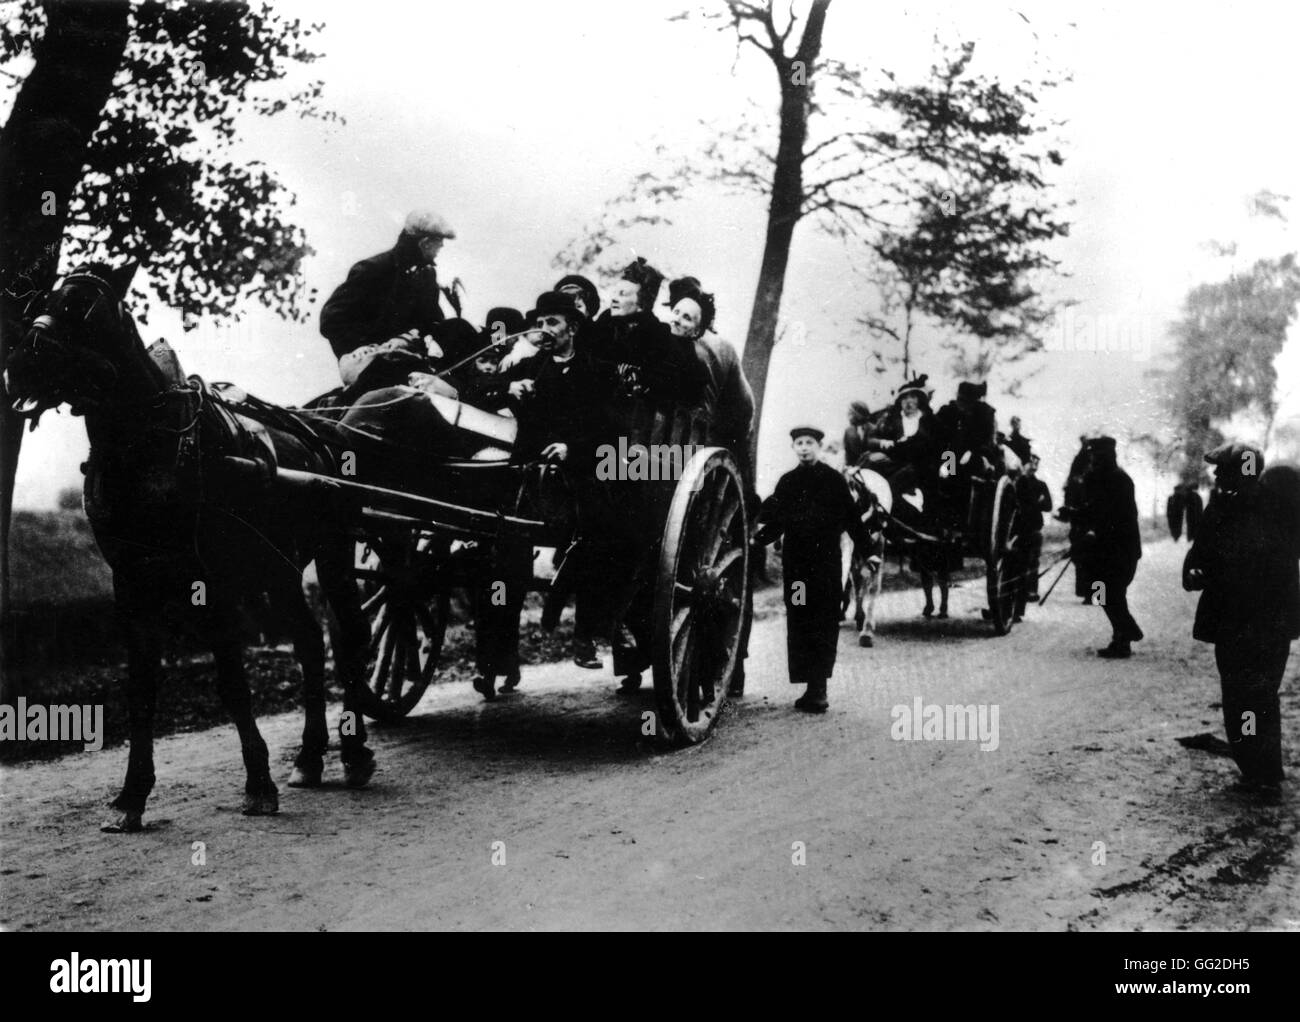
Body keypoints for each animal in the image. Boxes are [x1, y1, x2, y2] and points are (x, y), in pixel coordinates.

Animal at [7, 262, 377, 826]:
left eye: (85, 304)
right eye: (38, 301)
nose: (22, 360)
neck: (149, 446)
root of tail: (315, 430)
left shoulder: (213, 579)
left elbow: (232, 682)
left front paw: (258, 783)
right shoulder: (131, 583)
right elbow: (141, 688)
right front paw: (131, 797)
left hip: (332, 552)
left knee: (351, 636)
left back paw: (353, 752)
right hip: (279, 566)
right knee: (310, 643)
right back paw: (311, 756)